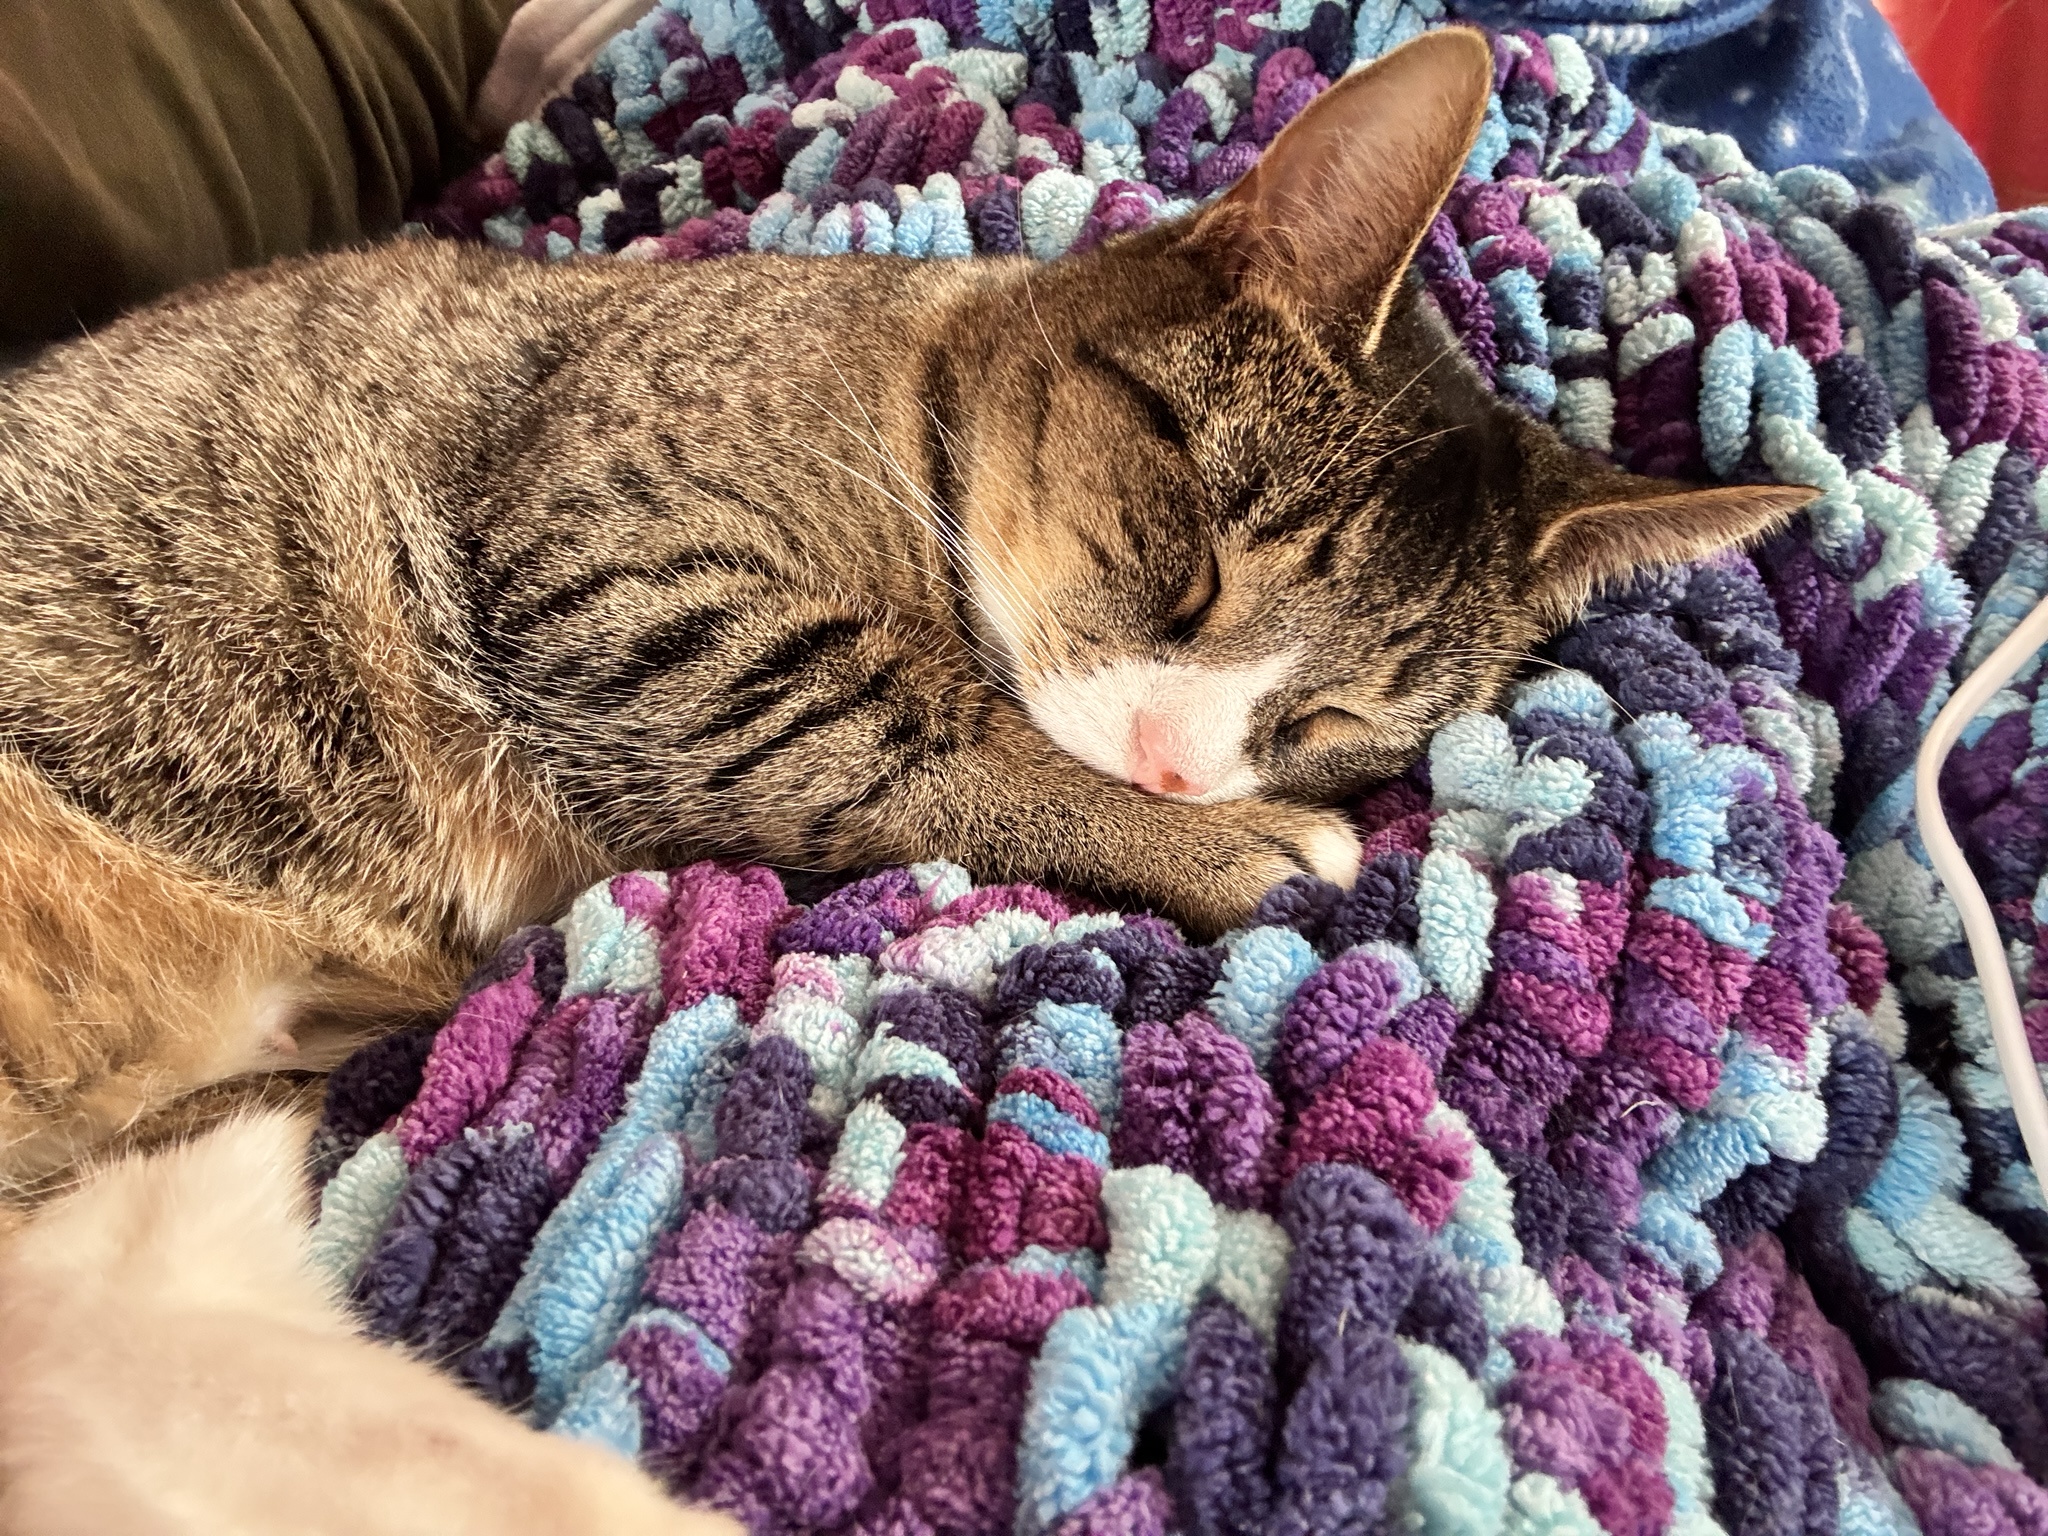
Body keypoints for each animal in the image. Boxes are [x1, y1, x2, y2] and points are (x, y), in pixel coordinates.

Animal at [0, 27, 1810, 1187]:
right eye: (1192, 560)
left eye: (1337, 714)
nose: (1178, 764)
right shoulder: (620, 576)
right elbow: (917, 745)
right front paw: (1223, 841)